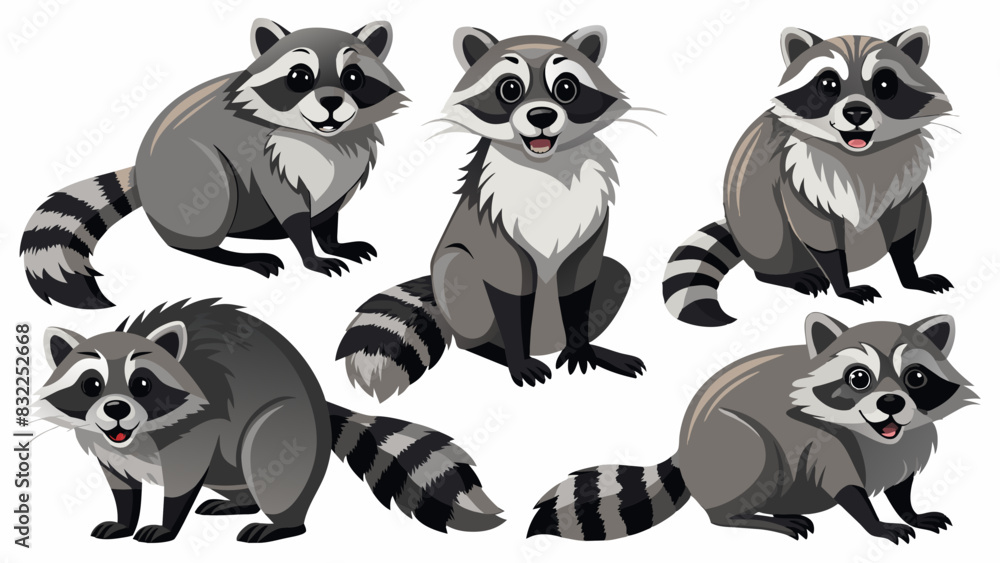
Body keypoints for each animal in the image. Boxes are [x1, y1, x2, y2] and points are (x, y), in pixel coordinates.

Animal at [21, 19, 406, 309]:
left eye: (353, 78)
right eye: (299, 77)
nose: (331, 103)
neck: (324, 137)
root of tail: (142, 171)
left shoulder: (345, 166)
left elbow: (328, 212)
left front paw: (332, 242)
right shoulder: (268, 157)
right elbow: (292, 212)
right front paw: (310, 256)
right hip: (187, 170)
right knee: (213, 196)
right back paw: (230, 254)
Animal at [34, 300, 503, 543]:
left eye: (142, 384)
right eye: (91, 384)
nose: (116, 409)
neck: (136, 435)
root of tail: (316, 398)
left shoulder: (197, 429)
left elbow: (183, 479)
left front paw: (165, 526)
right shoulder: (108, 446)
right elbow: (121, 485)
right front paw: (124, 518)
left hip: (288, 426)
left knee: (265, 456)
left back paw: (283, 524)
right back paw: (239, 500)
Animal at [336, 26, 646, 401]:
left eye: (566, 88)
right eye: (509, 89)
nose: (541, 117)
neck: (544, 166)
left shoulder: (592, 221)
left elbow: (579, 283)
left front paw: (581, 348)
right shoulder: (494, 227)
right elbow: (508, 288)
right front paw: (516, 360)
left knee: (615, 271)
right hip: (456, 282)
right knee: (460, 268)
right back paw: (490, 349)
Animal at [529, 313, 975, 543]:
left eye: (916, 378)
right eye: (859, 378)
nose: (891, 403)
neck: (875, 434)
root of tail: (685, 447)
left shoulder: (908, 442)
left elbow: (902, 484)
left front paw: (911, 511)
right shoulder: (823, 441)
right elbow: (846, 489)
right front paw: (877, 524)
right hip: (733, 448)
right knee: (754, 460)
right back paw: (752, 519)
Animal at [663, 27, 954, 326]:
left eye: (885, 85)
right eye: (828, 85)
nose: (857, 112)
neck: (860, 153)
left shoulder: (906, 179)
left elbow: (906, 229)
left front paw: (909, 274)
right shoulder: (797, 178)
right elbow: (819, 235)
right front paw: (843, 286)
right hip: (753, 222)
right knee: (769, 239)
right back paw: (786, 275)